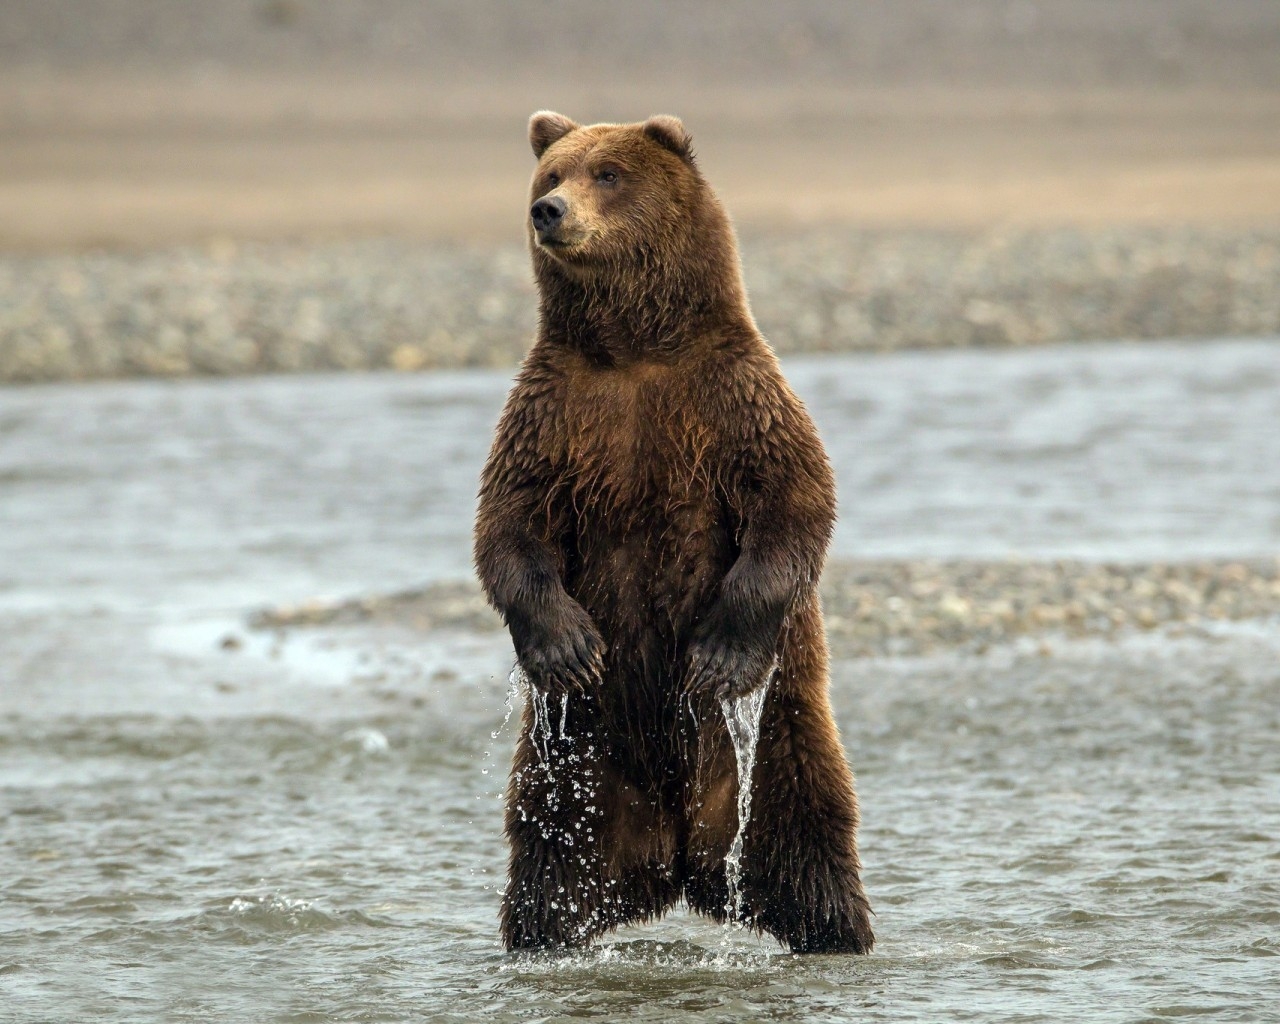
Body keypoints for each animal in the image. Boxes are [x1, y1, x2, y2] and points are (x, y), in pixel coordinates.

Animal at [476, 112, 875, 952]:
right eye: (552, 173)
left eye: (608, 173)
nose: (548, 212)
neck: (634, 349)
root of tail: (678, 858)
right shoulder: (553, 415)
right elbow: (510, 527)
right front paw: (567, 647)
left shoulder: (733, 399)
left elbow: (794, 502)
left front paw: (719, 655)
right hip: (574, 765)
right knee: (548, 860)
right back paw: (542, 936)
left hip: (780, 739)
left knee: (809, 839)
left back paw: (838, 932)